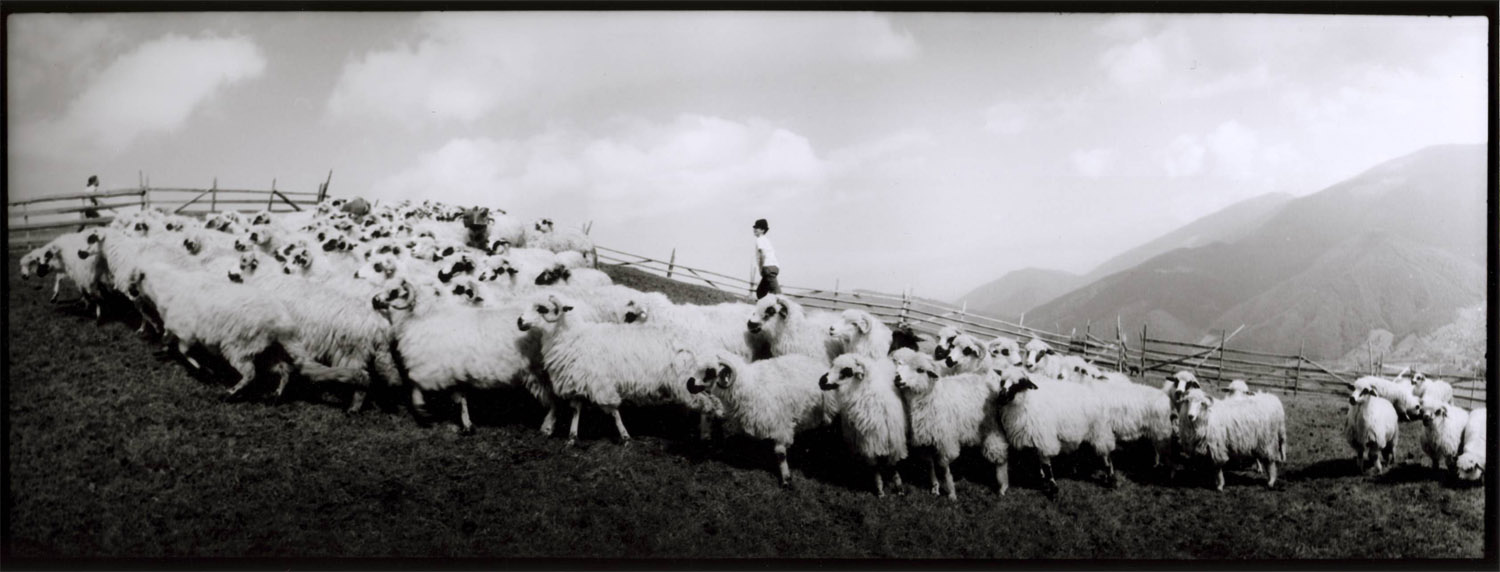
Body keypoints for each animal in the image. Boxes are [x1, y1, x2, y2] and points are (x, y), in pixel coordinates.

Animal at [684, 349, 840, 483]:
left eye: (710, 372)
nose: (689, 384)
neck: (749, 386)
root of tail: (815, 362)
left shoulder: (780, 424)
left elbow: (780, 453)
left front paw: (786, 478)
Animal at [816, 352, 906, 495]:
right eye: (832, 365)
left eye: (846, 372)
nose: (821, 381)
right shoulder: (868, 442)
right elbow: (875, 467)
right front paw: (880, 489)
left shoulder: (893, 440)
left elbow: (893, 464)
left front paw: (899, 487)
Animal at [888, 345, 1008, 498]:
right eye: (897, 363)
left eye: (920, 370)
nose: (897, 378)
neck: (931, 396)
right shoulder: (926, 440)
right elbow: (930, 464)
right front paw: (935, 487)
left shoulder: (945, 439)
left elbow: (944, 466)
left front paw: (951, 492)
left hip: (992, 425)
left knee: (999, 452)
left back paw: (1003, 484)